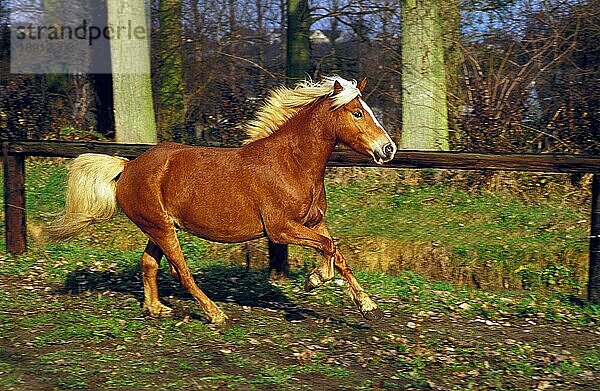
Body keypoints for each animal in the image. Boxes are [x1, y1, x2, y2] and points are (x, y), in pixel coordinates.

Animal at [49, 77, 396, 324]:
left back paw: (157, 309)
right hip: (162, 229)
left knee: (149, 264)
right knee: (181, 272)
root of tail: (127, 166)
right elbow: (328, 248)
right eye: (358, 112)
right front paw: (315, 280)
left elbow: (338, 252)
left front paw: (369, 307)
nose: (388, 148)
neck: (292, 164)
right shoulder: (280, 229)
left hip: (158, 227)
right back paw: (215, 314)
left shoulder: (314, 221)